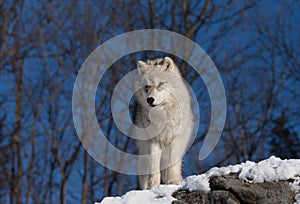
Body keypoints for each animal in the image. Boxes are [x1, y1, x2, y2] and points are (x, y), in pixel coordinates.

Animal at [134, 56, 195, 190]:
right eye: (147, 87)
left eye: (160, 84)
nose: (150, 99)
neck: (163, 115)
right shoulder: (153, 142)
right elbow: (154, 168)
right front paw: (153, 186)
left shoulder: (175, 140)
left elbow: (172, 165)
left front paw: (173, 182)